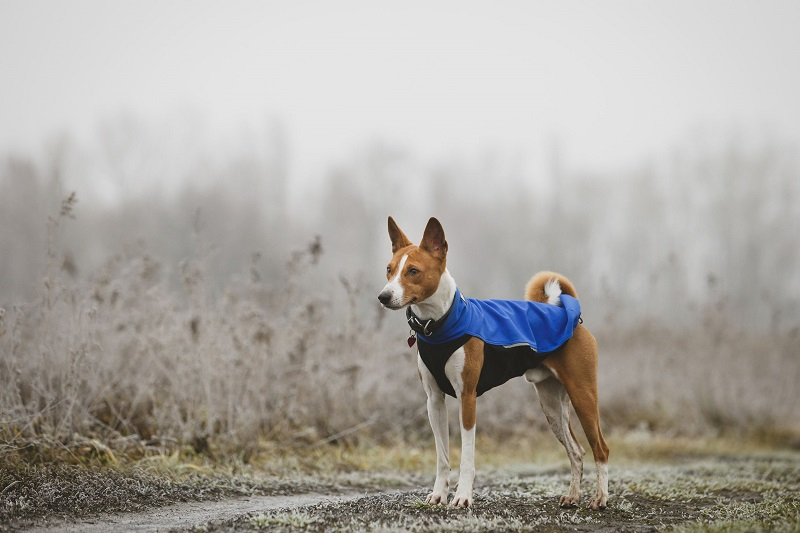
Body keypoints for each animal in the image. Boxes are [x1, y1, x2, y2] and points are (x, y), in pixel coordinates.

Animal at [378, 217, 608, 512]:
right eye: (389, 270)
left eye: (414, 271)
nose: (383, 296)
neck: (441, 324)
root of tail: (570, 314)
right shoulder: (434, 401)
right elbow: (442, 458)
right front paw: (439, 494)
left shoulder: (467, 397)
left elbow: (466, 458)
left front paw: (463, 496)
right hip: (552, 406)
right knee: (577, 451)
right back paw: (573, 496)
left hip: (583, 396)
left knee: (600, 448)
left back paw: (600, 498)